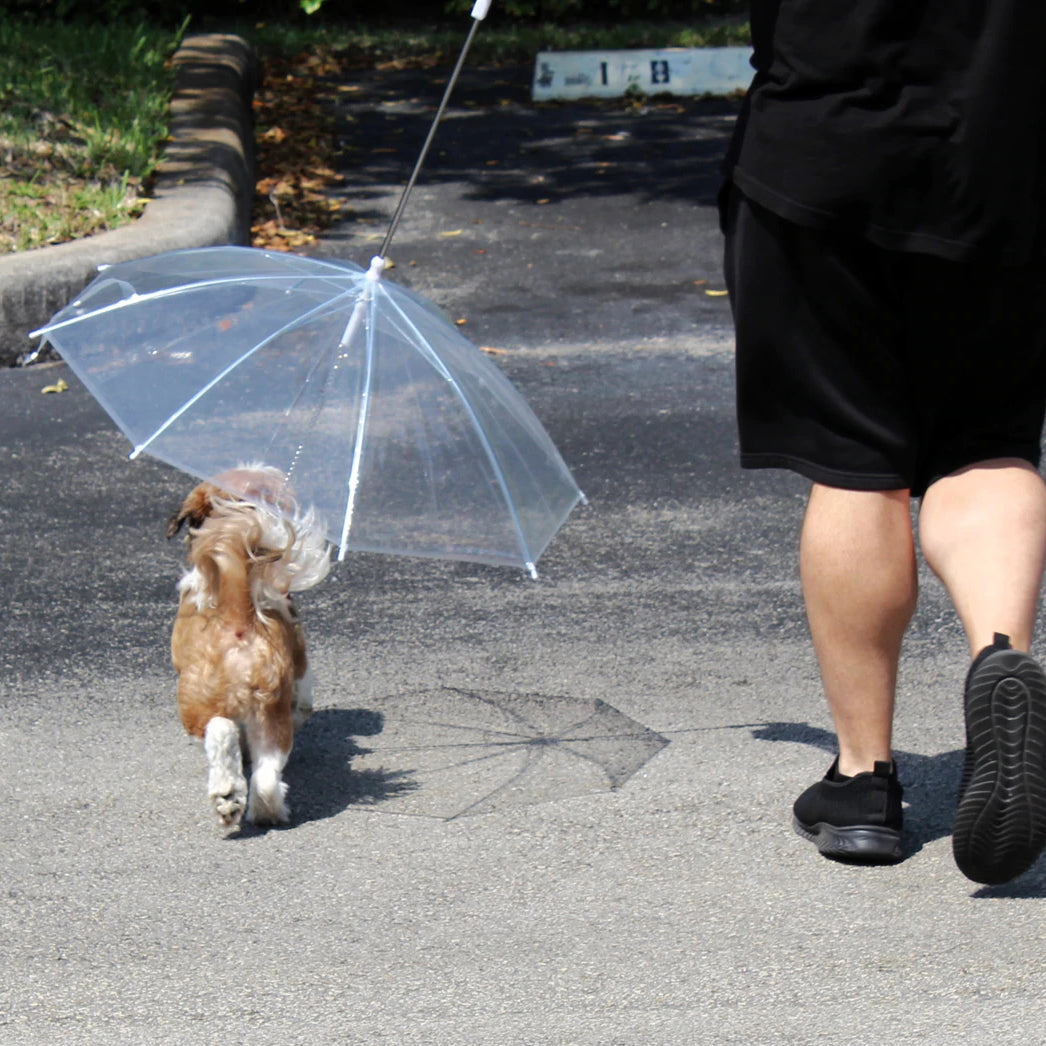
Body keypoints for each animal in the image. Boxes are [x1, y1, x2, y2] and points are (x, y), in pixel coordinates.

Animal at [167, 464, 330, 824]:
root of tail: (236, 616)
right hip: (270, 711)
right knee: (267, 771)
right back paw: (263, 808)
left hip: (196, 703)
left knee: (219, 730)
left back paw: (227, 793)